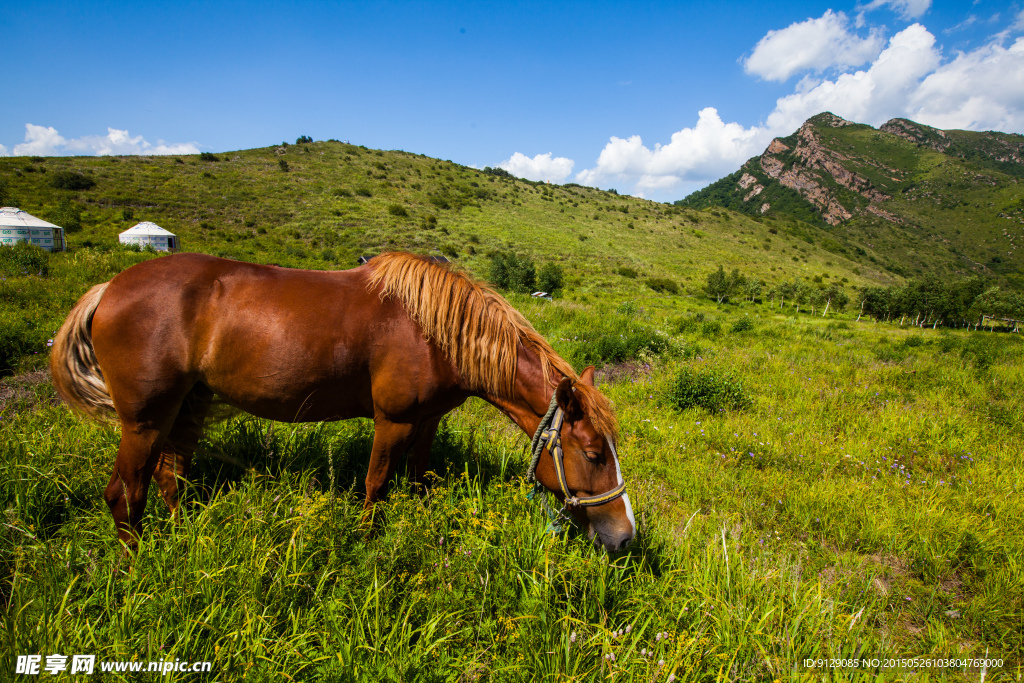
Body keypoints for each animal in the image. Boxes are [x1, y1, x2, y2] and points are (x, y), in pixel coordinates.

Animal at [51, 253, 634, 552]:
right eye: (593, 454)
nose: (626, 537)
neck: (433, 332)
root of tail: (108, 288)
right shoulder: (392, 421)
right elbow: (376, 484)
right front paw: (367, 541)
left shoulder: (426, 422)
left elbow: (419, 477)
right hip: (144, 421)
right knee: (124, 494)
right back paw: (137, 564)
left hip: (182, 410)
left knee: (169, 476)